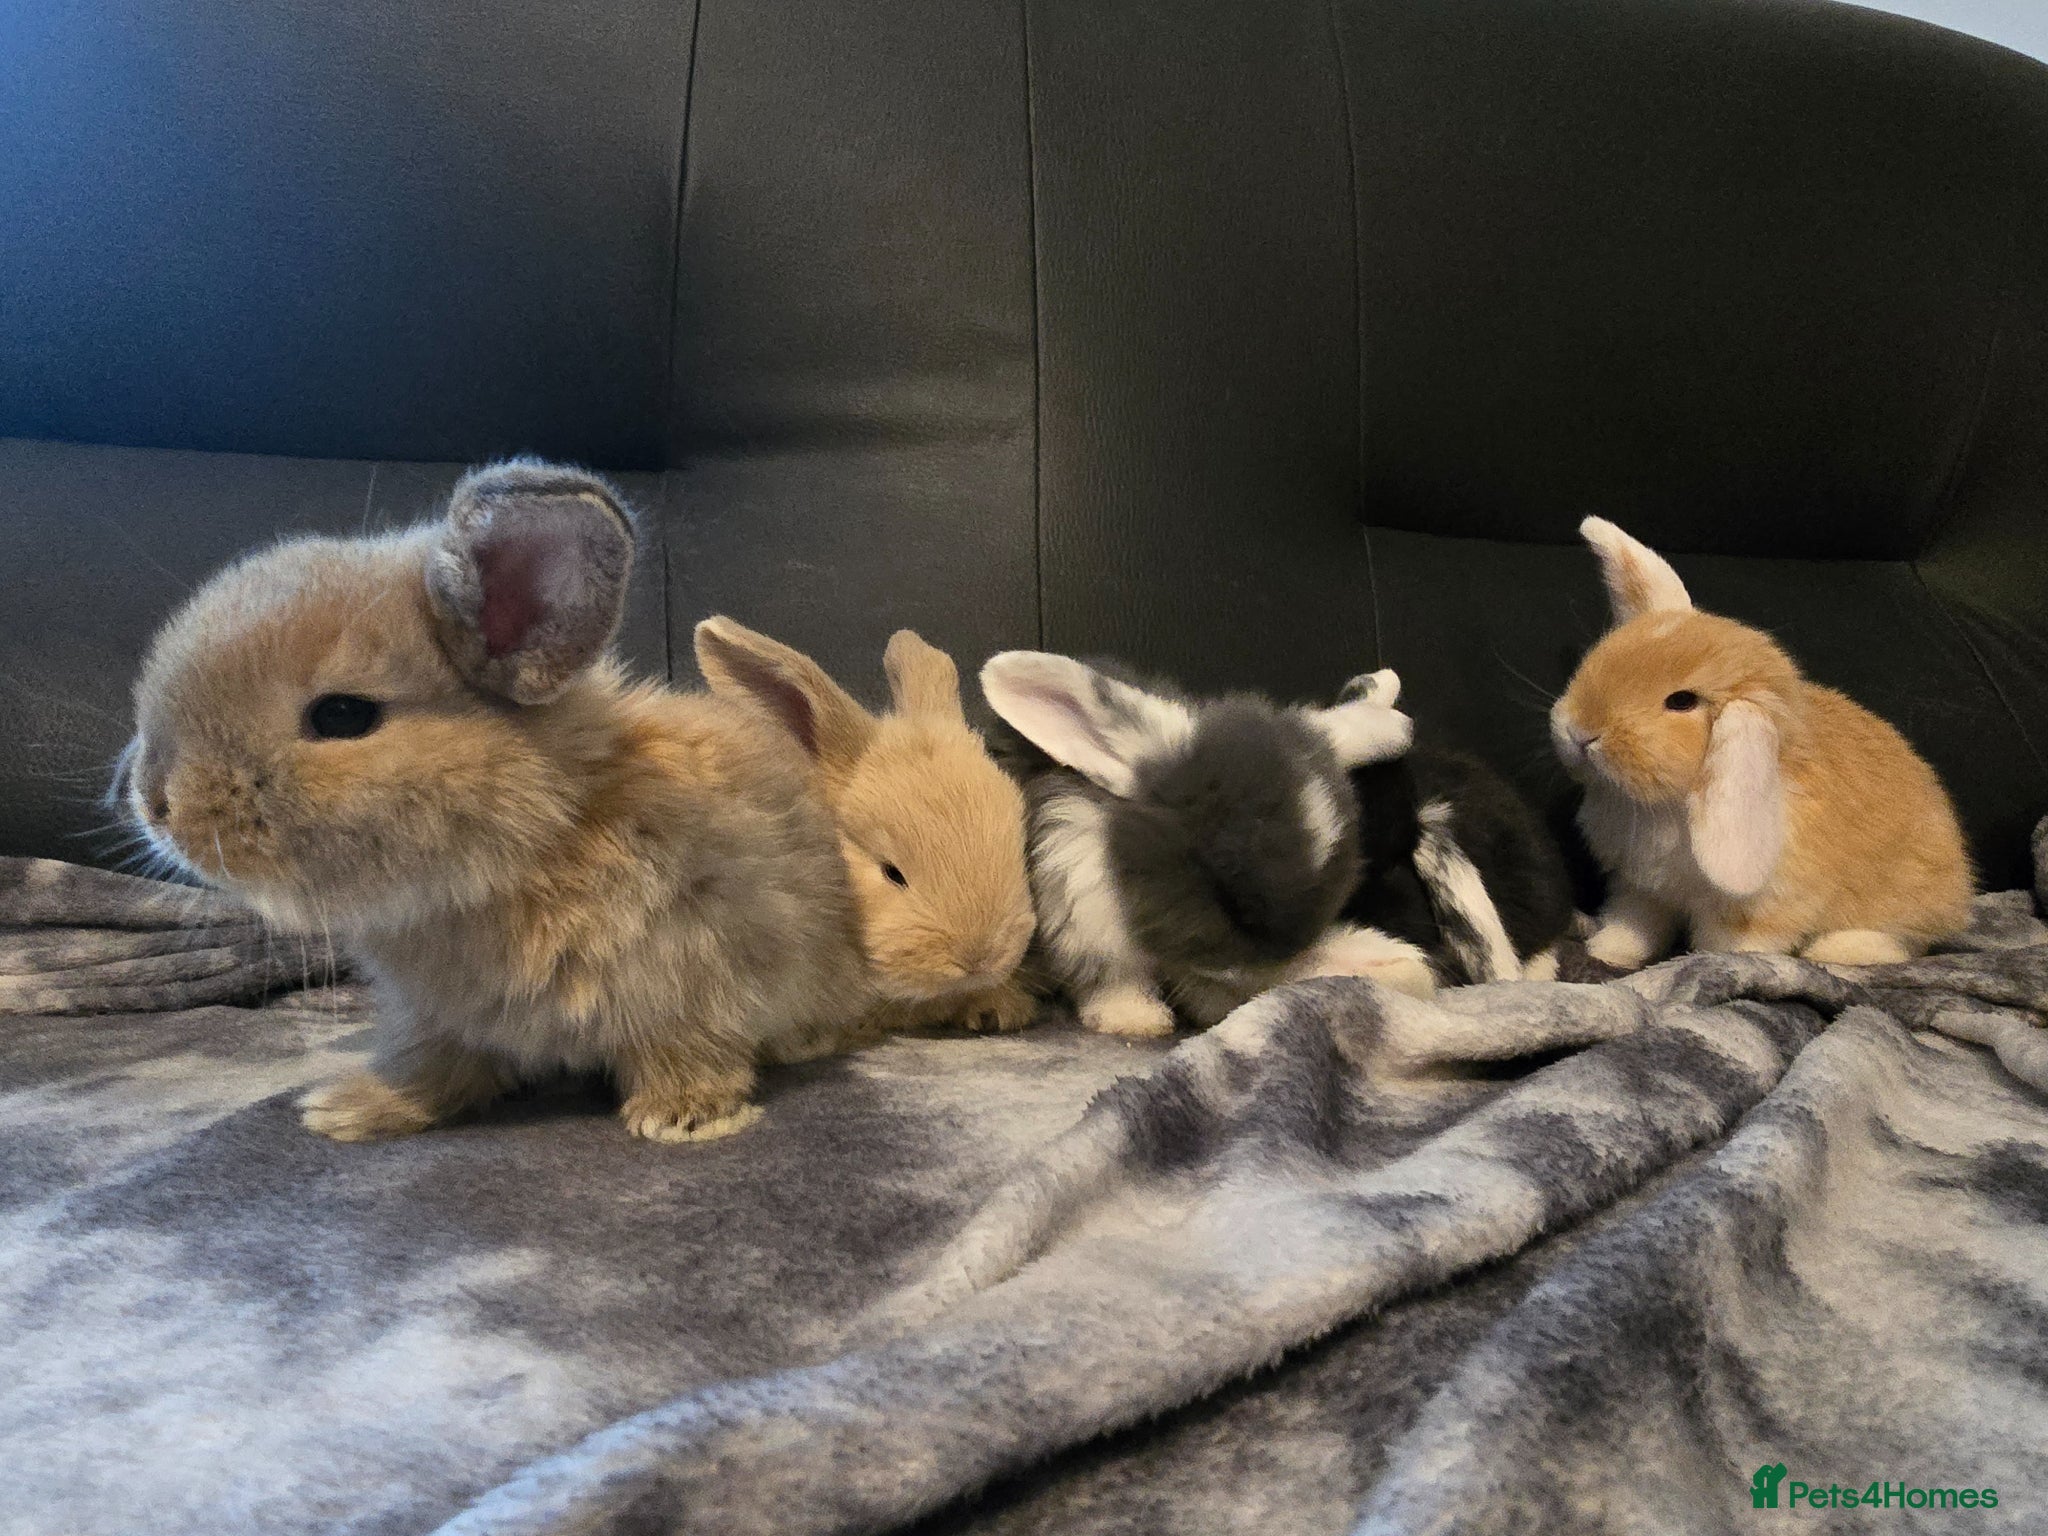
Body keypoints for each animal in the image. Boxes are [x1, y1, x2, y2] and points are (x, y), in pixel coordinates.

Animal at [122, 460, 872, 1145]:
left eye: (342, 715)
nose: (157, 802)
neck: (538, 838)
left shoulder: (694, 974)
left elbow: (688, 1050)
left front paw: (683, 1117)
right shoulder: (442, 1021)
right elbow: (432, 1070)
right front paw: (351, 1110)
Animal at [1551, 516, 1973, 969]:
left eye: (1682, 701)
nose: (1580, 733)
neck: (1666, 808)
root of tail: (1960, 892)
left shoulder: (1765, 907)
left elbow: (1734, 943)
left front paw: (1715, 963)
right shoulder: (1643, 889)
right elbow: (1635, 924)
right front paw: (1607, 951)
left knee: (1906, 942)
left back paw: (1836, 950)